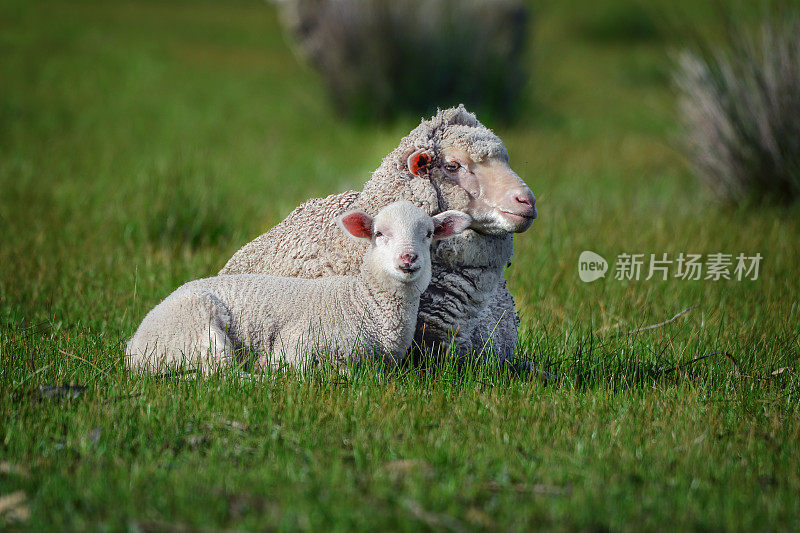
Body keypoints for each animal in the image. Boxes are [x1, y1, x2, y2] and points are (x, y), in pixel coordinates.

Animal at [127, 202, 472, 372]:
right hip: (197, 324)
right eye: (379, 234)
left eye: (429, 234)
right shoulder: (299, 343)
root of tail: (134, 348)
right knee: (223, 374)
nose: (408, 258)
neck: (365, 302)